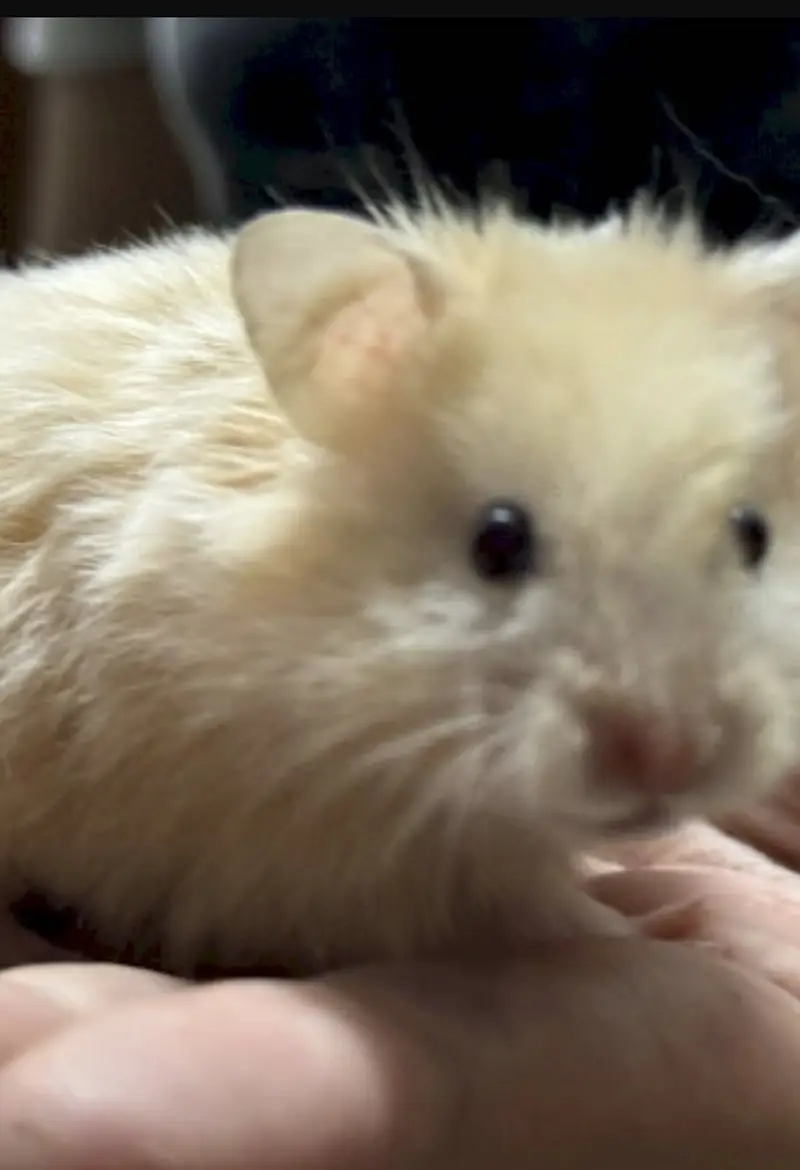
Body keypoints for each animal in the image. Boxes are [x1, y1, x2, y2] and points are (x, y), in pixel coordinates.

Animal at [0, 197, 799, 975]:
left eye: (754, 533)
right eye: (498, 541)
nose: (676, 757)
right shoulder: (316, 865)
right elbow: (541, 913)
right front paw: (676, 930)